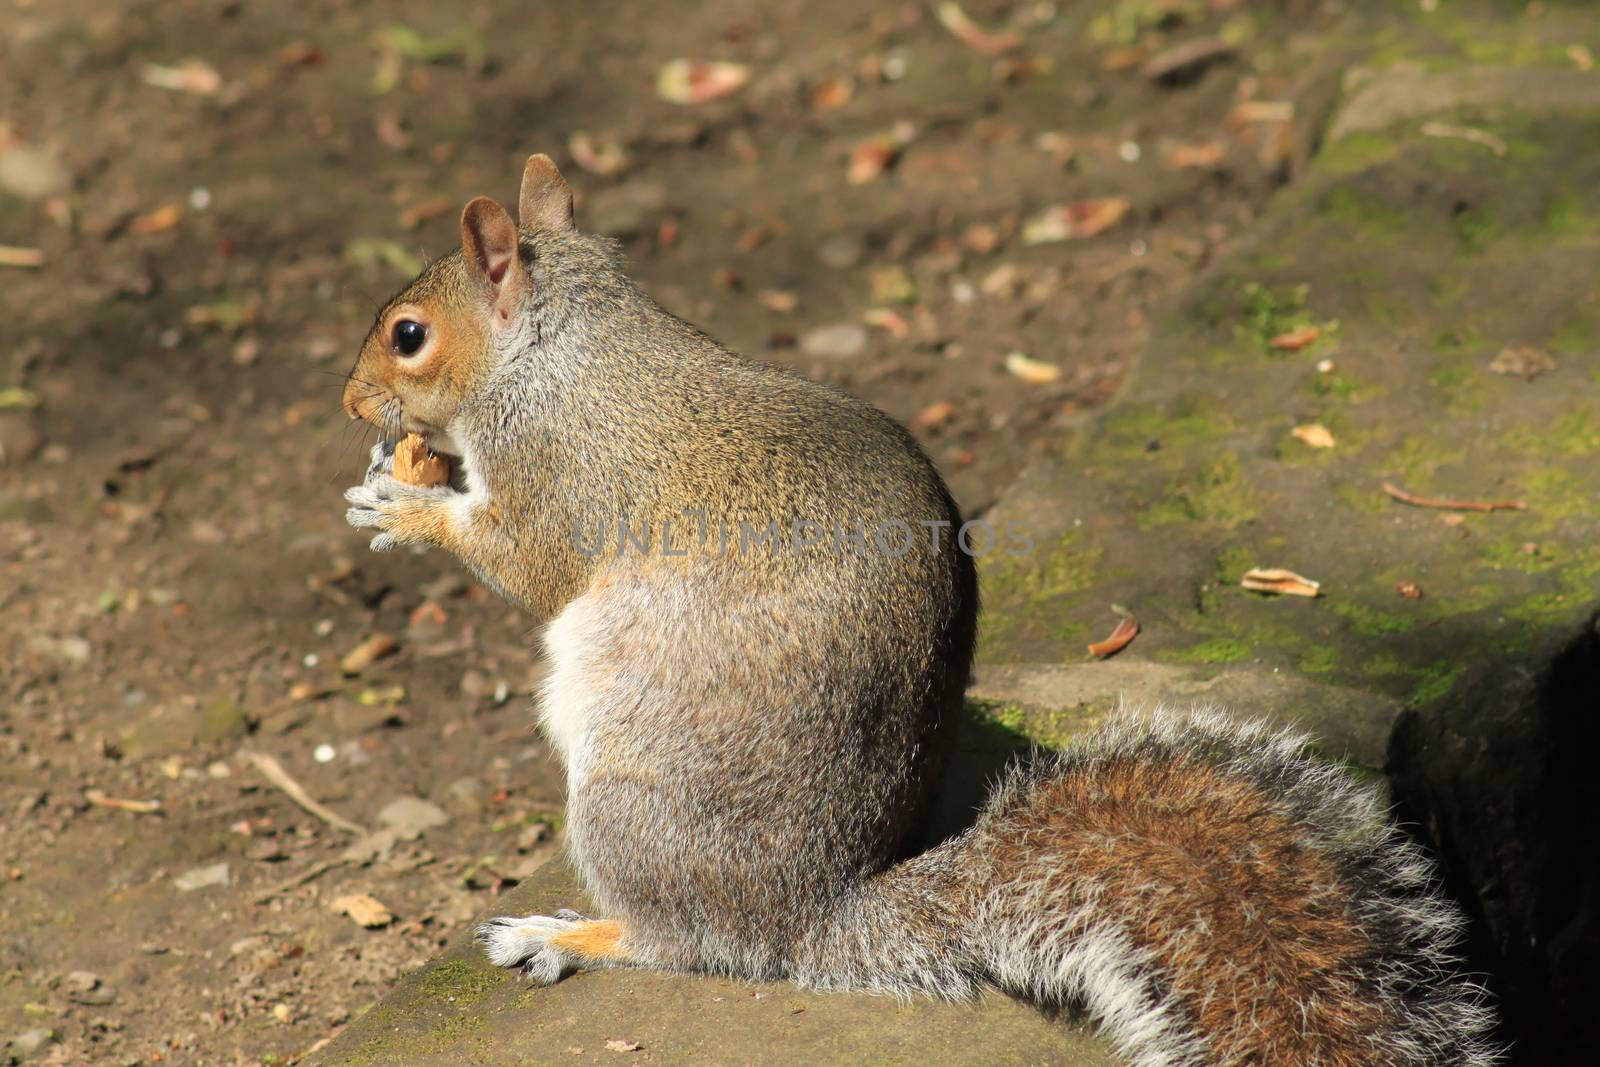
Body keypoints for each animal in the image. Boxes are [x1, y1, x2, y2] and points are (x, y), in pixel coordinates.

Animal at [340, 154, 1497, 1062]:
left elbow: (525, 559)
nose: (352, 403)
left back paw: (572, 935)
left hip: (630, 801)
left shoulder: (558, 471)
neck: (557, 344)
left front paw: (405, 505)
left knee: (692, 943)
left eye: (408, 334)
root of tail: (814, 912)